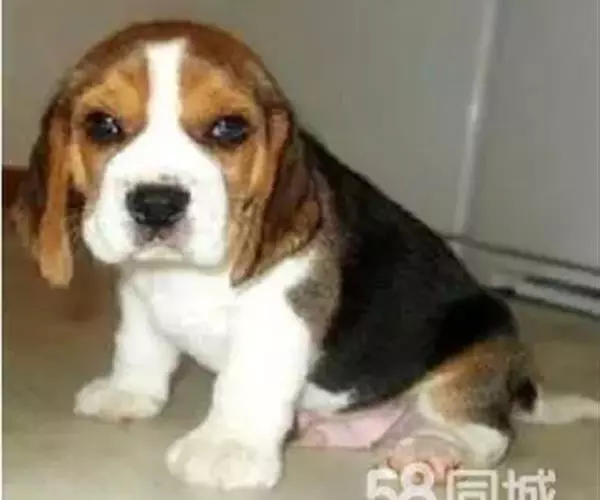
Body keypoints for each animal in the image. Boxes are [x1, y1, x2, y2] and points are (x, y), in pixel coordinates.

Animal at [12, 21, 600, 490]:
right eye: (101, 125)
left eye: (229, 128)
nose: (157, 204)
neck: (186, 275)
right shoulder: (139, 291)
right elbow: (140, 347)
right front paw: (128, 394)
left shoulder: (281, 313)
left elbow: (246, 381)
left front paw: (228, 447)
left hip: (477, 346)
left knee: (486, 431)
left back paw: (435, 449)